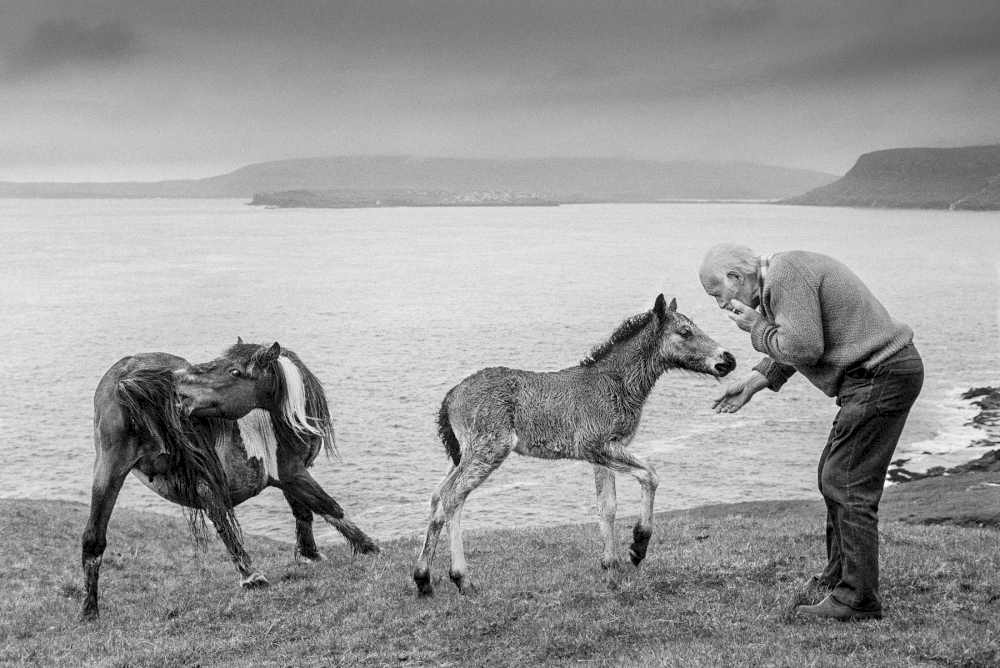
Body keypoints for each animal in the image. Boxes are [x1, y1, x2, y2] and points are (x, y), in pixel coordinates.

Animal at [81, 340, 378, 620]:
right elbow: (327, 506)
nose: (181, 393)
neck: (279, 418)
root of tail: (128, 376)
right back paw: (252, 576)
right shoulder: (292, 473)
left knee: (94, 537)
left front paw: (310, 555)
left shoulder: (289, 476)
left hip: (111, 470)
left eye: (234, 371)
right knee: (222, 522)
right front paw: (368, 547)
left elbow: (302, 511)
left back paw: (89, 611)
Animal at [412, 294, 736, 596]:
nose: (728, 359)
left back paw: (423, 579)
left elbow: (608, 506)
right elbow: (650, 474)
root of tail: (450, 397)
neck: (616, 383)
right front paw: (638, 545)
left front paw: (610, 565)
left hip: (465, 454)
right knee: (453, 496)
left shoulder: (604, 454)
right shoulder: (597, 446)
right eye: (685, 332)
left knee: (437, 495)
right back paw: (461, 578)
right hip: (488, 450)